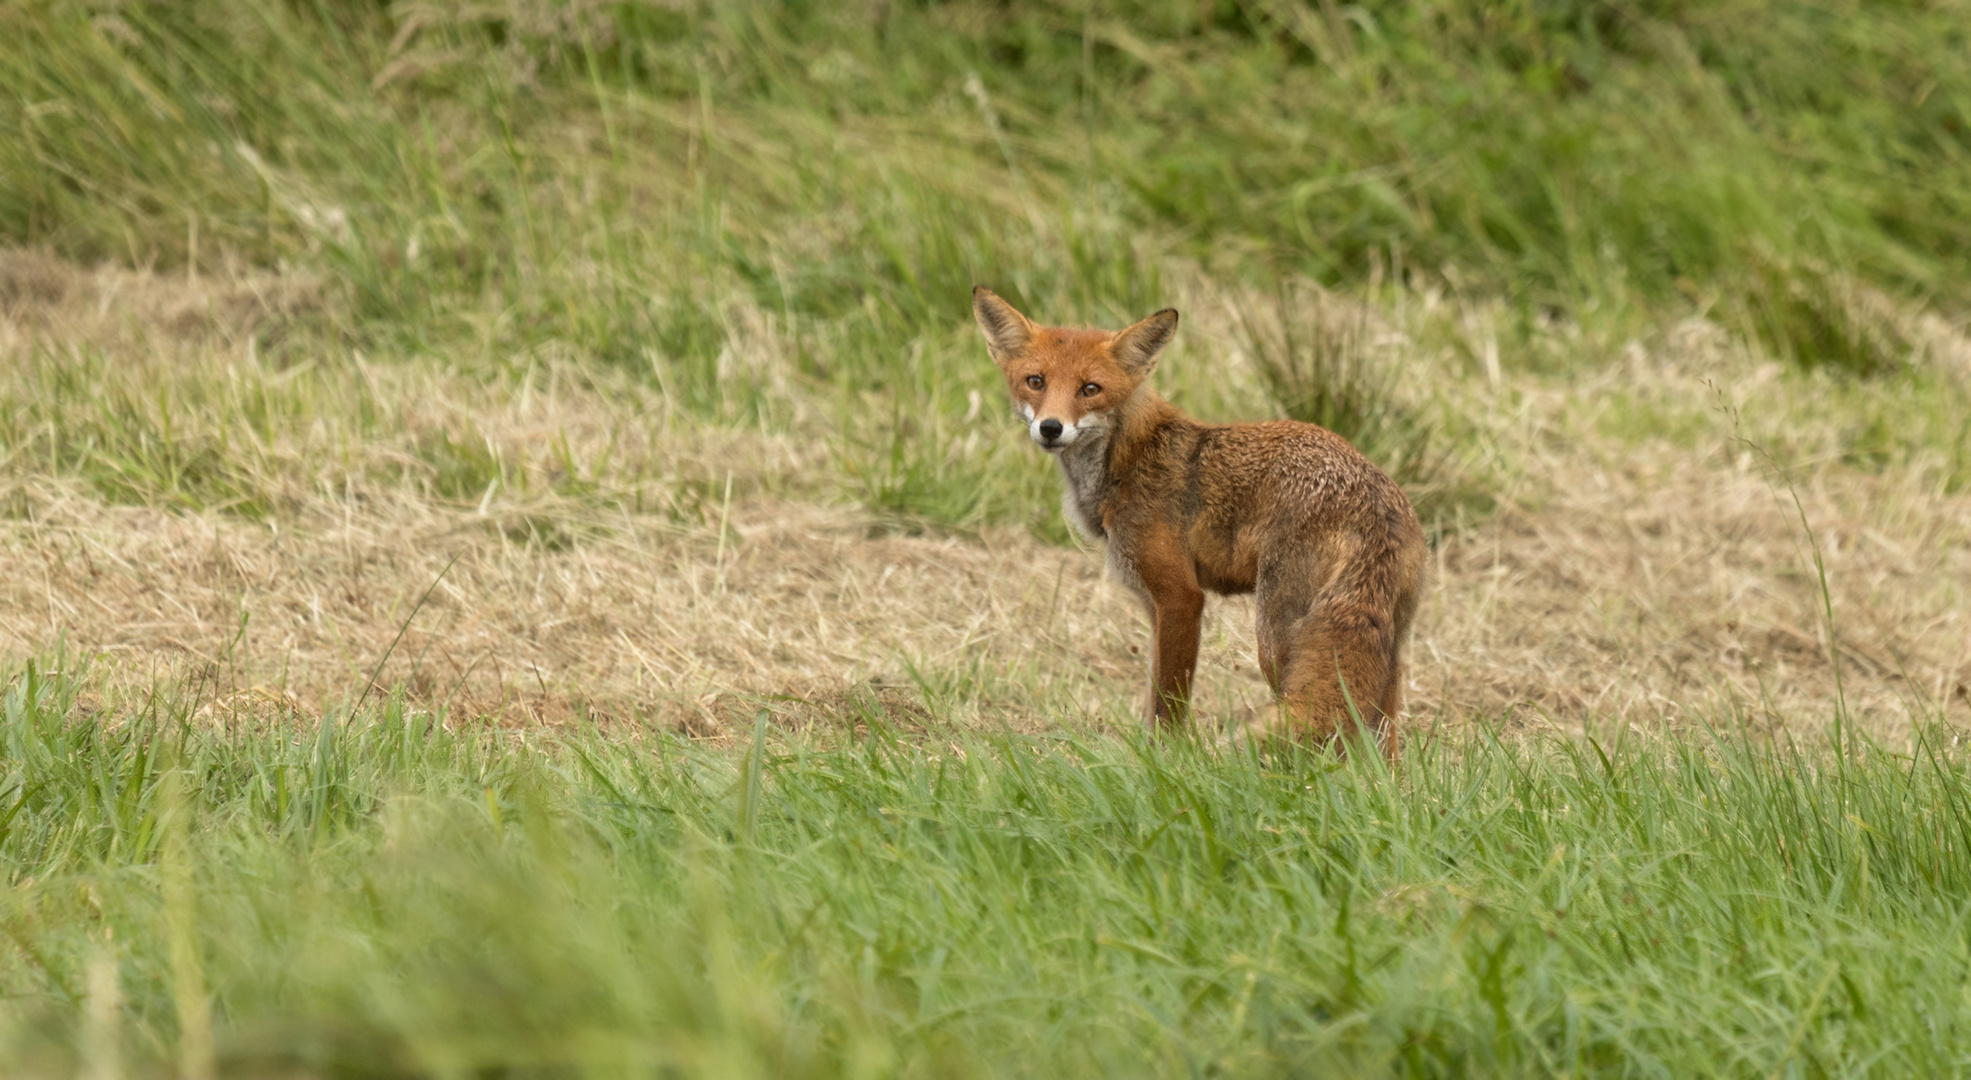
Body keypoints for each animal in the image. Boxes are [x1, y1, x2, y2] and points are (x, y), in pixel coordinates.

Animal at [973, 287, 1427, 760]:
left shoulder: (1181, 598)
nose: (1050, 428)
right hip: (1387, 653)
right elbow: (1153, 694)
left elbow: (1169, 706)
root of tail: (1377, 500)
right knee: (1384, 744)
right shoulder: (1153, 607)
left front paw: (1165, 763)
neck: (1128, 459)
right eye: (1035, 381)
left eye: (1090, 389)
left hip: (1277, 638)